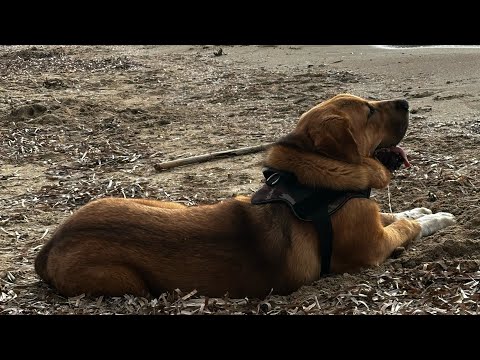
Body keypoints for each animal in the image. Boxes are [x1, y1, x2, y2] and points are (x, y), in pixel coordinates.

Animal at [34, 93, 458, 298]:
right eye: (369, 112)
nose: (407, 103)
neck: (318, 178)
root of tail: (50, 246)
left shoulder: (371, 217)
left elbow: (397, 215)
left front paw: (420, 210)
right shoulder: (372, 248)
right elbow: (404, 228)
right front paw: (432, 219)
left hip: (160, 203)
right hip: (127, 282)